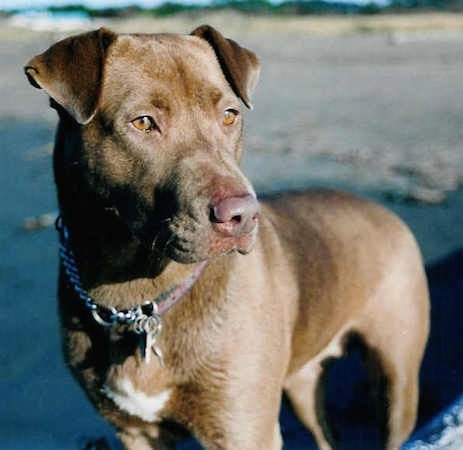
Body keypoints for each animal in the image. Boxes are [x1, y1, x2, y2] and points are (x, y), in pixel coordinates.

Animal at [25, 26, 432, 448]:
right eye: (142, 122)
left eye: (229, 115)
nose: (243, 215)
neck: (136, 300)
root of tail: (384, 211)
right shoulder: (136, 433)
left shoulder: (243, 428)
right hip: (303, 382)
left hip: (396, 375)